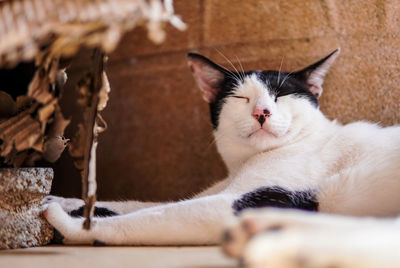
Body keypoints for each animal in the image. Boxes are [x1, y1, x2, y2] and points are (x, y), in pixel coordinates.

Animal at [41, 49, 400, 246]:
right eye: (240, 97)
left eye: (281, 95)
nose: (262, 111)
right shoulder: (218, 191)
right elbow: (136, 204)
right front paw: (60, 199)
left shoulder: (236, 203)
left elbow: (146, 217)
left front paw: (68, 223)